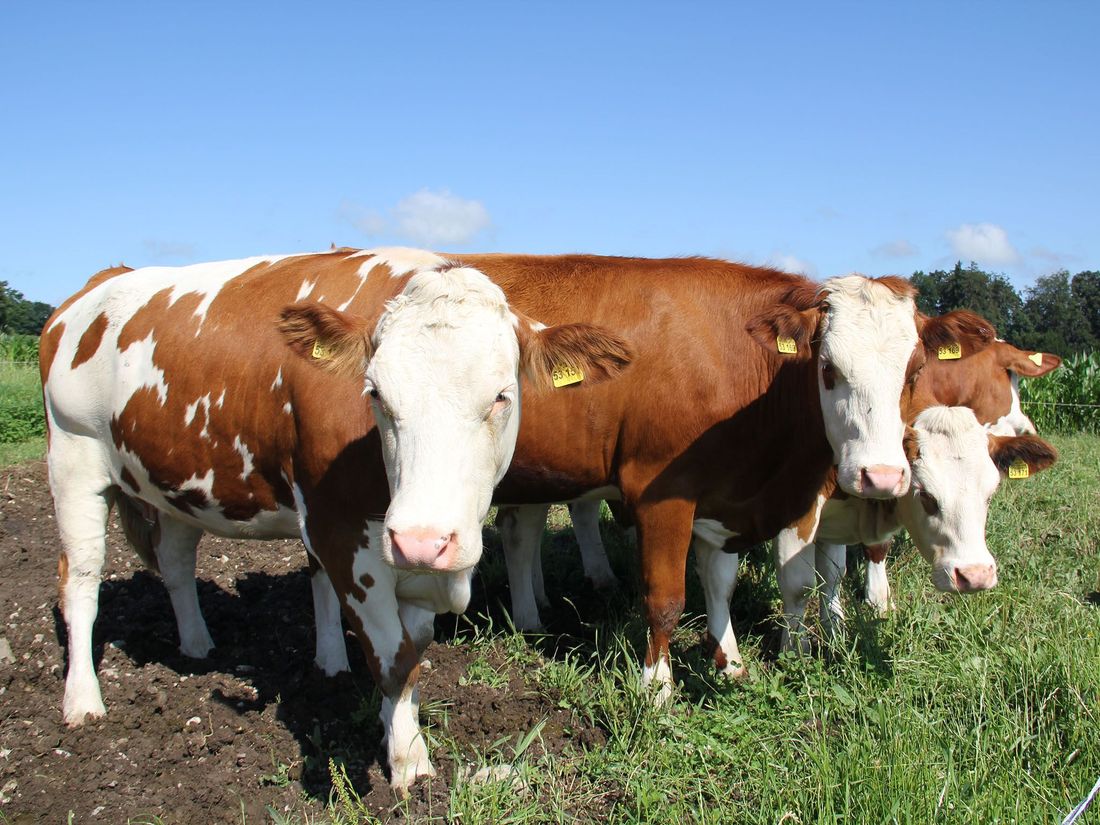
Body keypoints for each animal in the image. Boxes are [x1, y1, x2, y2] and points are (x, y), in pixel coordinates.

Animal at [40, 248, 631, 790]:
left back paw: (199, 646)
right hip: (72, 456)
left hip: (177, 481)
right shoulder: (341, 527)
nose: (424, 541)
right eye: (375, 394)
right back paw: (83, 701)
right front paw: (410, 766)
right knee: (81, 579)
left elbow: (413, 649)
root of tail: (99, 283)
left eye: (502, 396)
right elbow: (392, 656)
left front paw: (393, 725)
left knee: (177, 563)